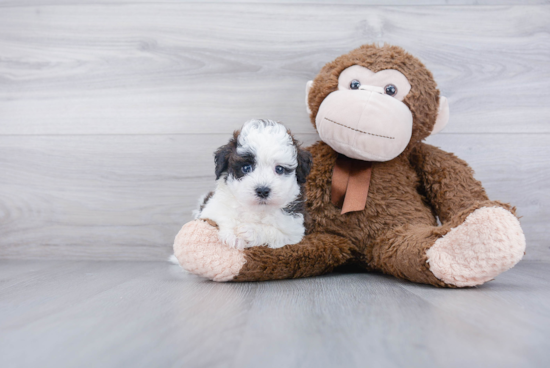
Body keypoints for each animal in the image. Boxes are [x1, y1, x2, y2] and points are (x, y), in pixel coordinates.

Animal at [196, 119, 312, 249]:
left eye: (279, 169)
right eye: (246, 168)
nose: (262, 191)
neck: (256, 209)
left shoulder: (293, 231)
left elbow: (274, 232)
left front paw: (250, 231)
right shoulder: (211, 209)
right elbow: (224, 215)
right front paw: (233, 235)